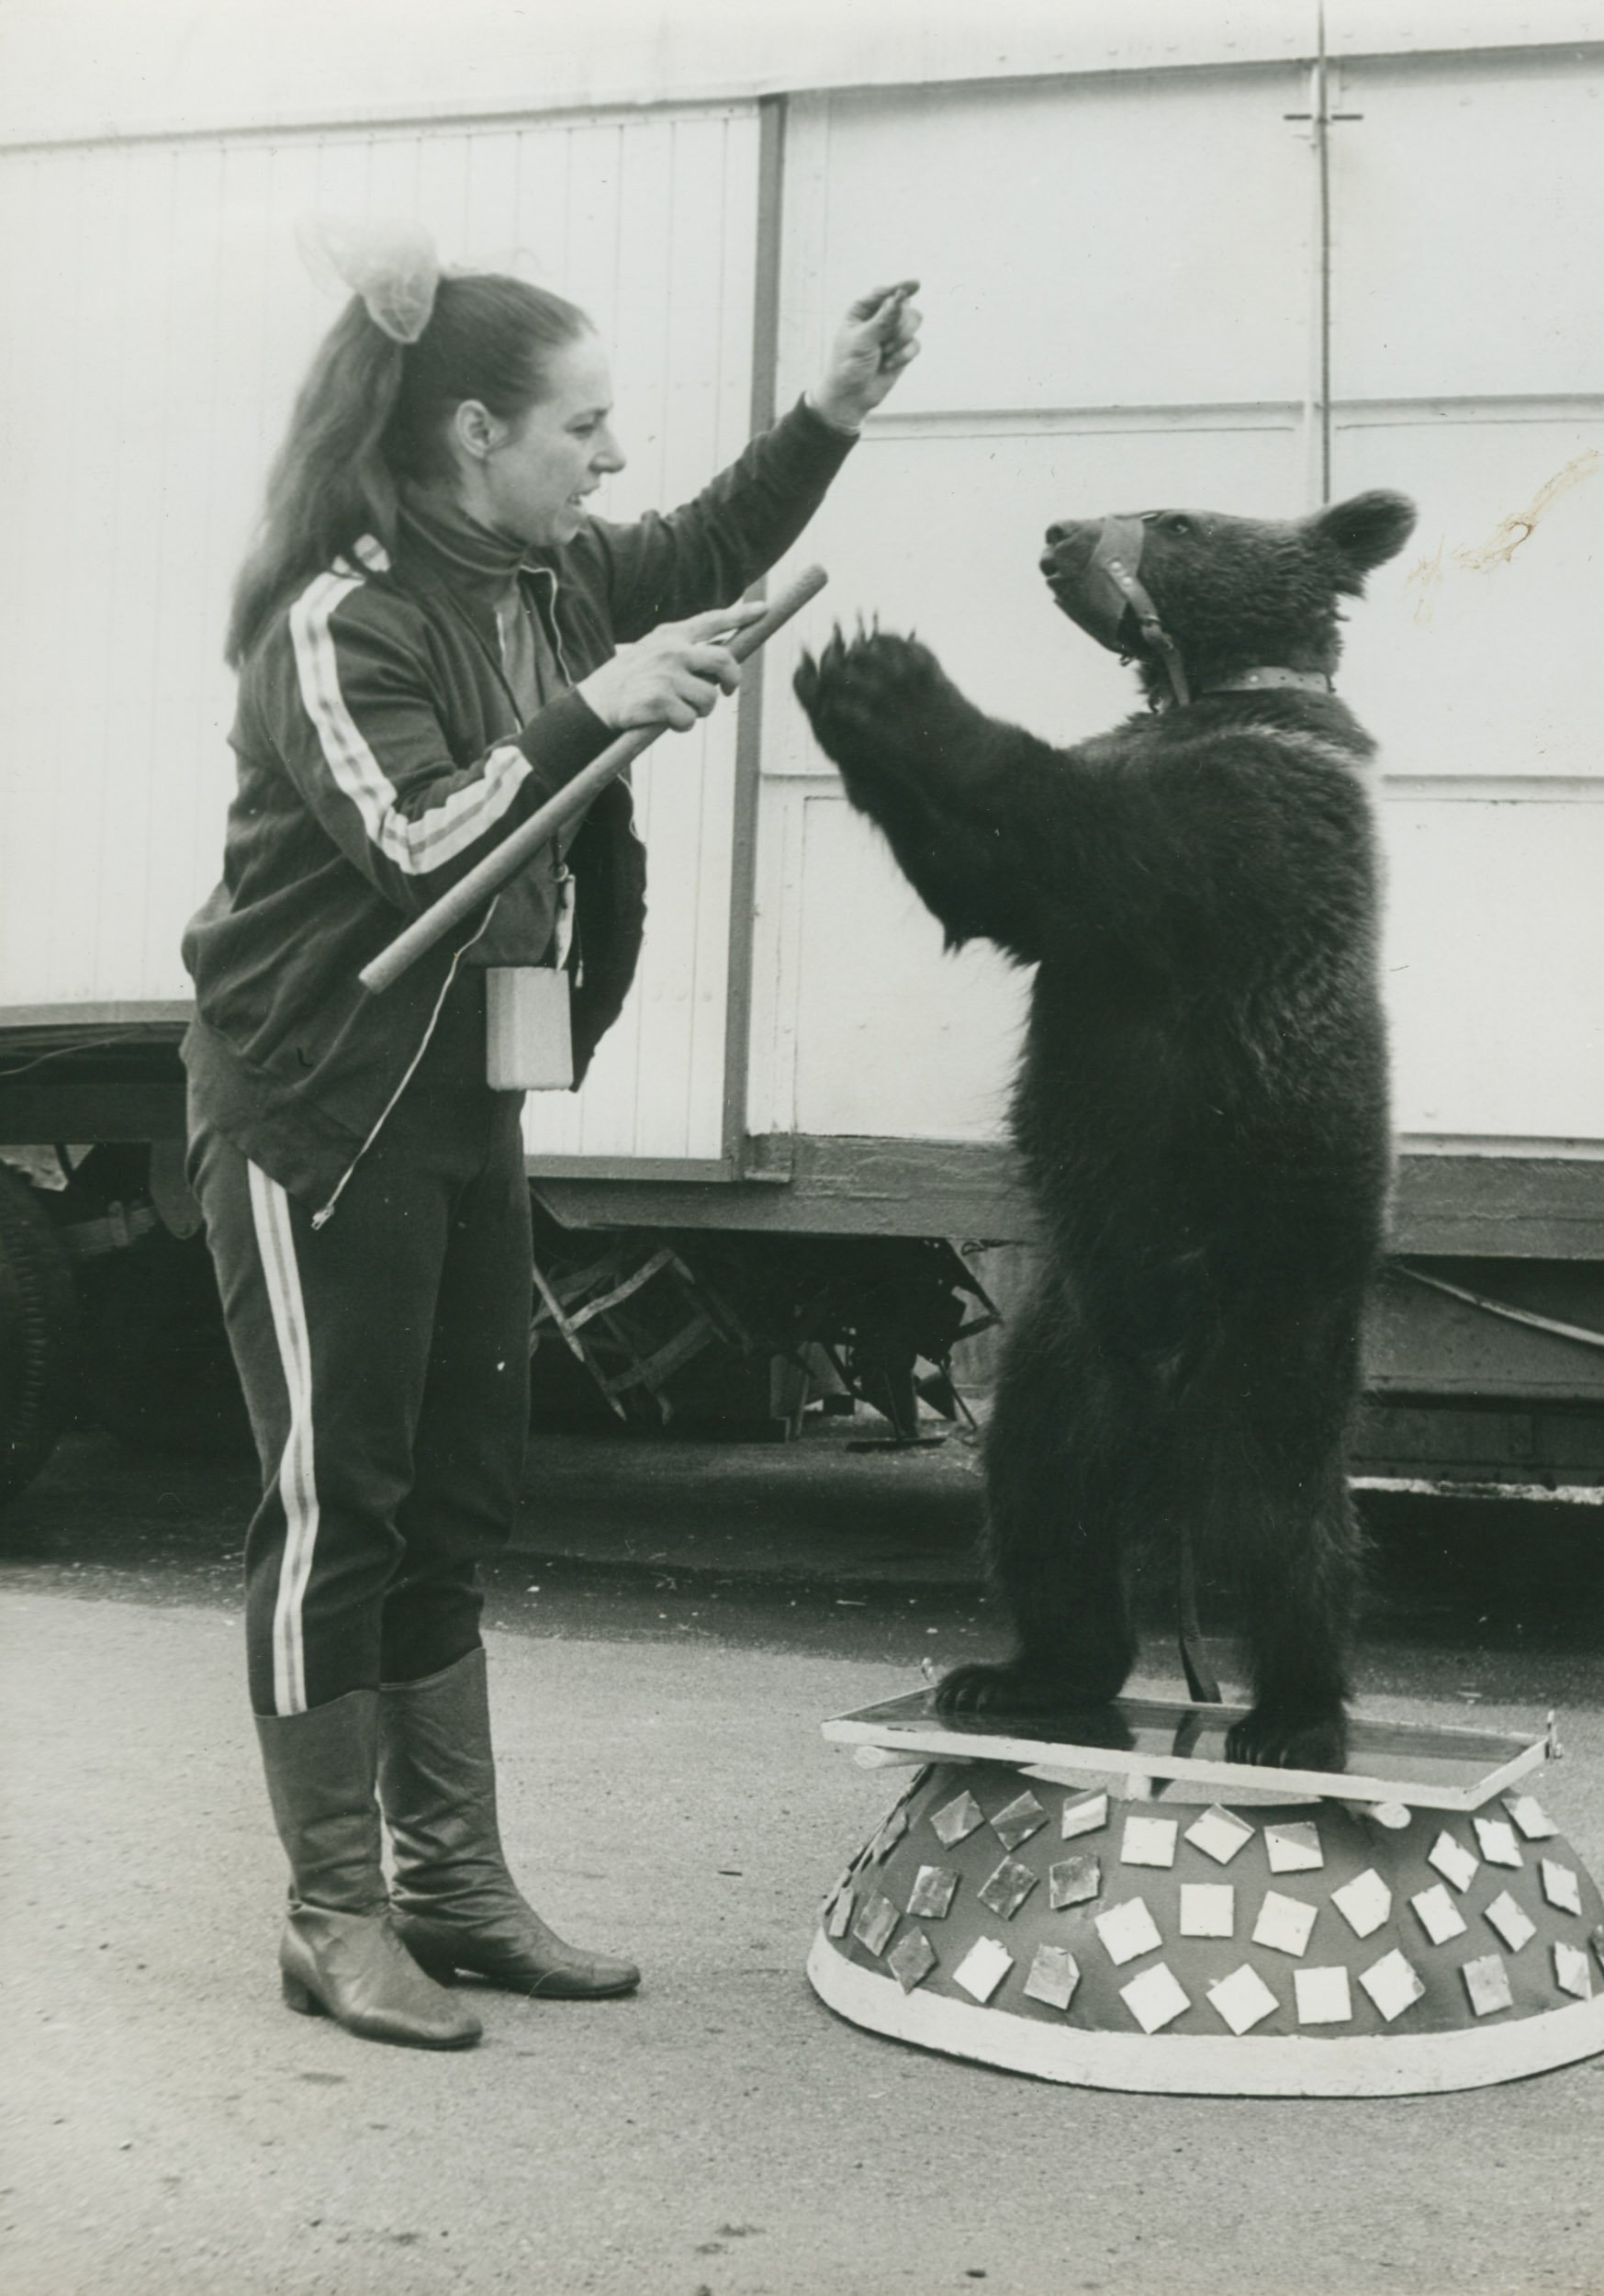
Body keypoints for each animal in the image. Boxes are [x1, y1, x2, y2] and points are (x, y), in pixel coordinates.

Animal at [798, 489, 1413, 1773]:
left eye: (1176, 517)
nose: (1059, 532)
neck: (1207, 691)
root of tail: (1161, 1405)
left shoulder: (1251, 825)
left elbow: (1094, 846)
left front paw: (894, 678)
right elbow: (994, 893)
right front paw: (841, 685)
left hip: (1272, 1291)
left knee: (1283, 1517)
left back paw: (1293, 1715)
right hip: (1065, 1335)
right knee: (1042, 1496)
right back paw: (1017, 1672)